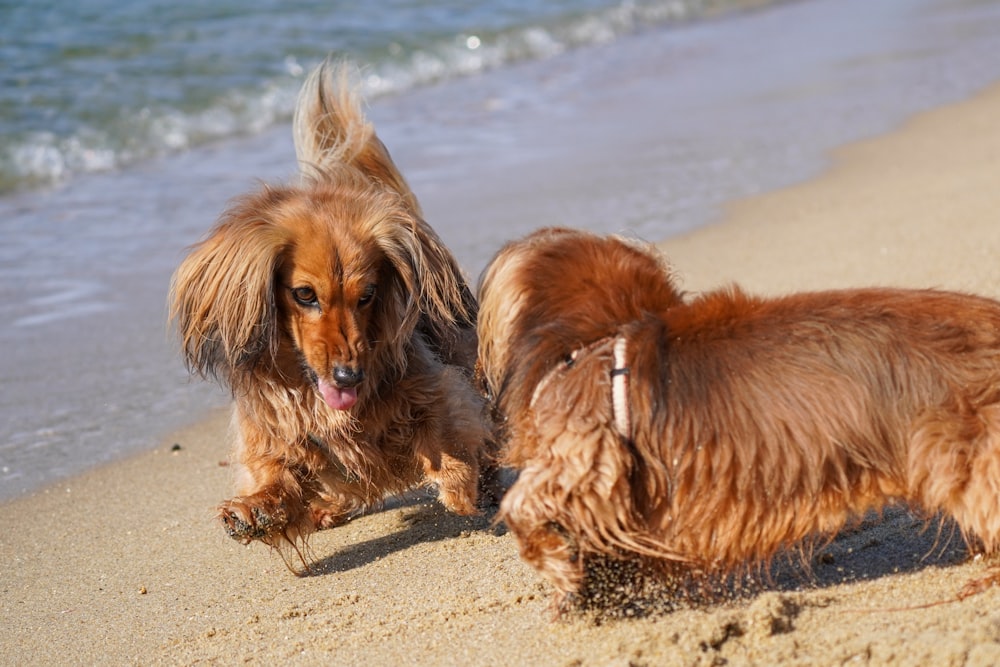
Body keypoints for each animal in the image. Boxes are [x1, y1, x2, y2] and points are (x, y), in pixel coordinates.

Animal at [170, 61, 494, 564]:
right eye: (304, 294)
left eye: (368, 294)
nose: (348, 377)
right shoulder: (275, 433)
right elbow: (277, 473)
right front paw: (256, 508)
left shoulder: (435, 386)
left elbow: (446, 428)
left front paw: (458, 483)